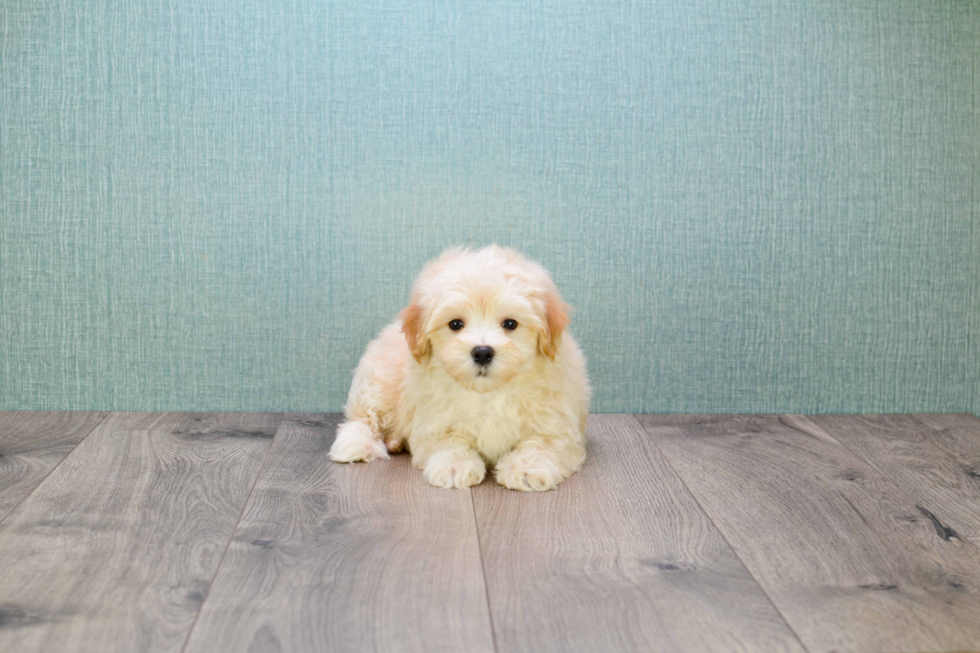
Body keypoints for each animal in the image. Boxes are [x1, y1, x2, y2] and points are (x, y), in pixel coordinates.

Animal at [330, 244, 588, 488]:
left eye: (510, 324)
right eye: (455, 324)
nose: (482, 352)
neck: (488, 393)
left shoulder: (555, 424)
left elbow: (542, 444)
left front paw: (527, 469)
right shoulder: (434, 422)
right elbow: (449, 442)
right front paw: (454, 466)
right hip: (380, 379)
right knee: (364, 416)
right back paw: (355, 444)